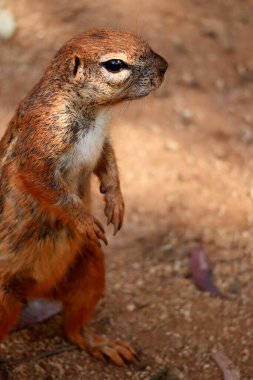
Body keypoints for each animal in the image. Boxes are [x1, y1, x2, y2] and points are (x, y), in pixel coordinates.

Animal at [0, 28, 168, 364]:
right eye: (115, 64)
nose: (165, 67)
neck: (96, 114)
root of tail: (34, 293)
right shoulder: (41, 140)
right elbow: (47, 185)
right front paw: (85, 220)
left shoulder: (102, 141)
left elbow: (109, 164)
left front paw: (116, 202)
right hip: (2, 299)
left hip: (91, 267)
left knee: (72, 328)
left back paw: (101, 344)